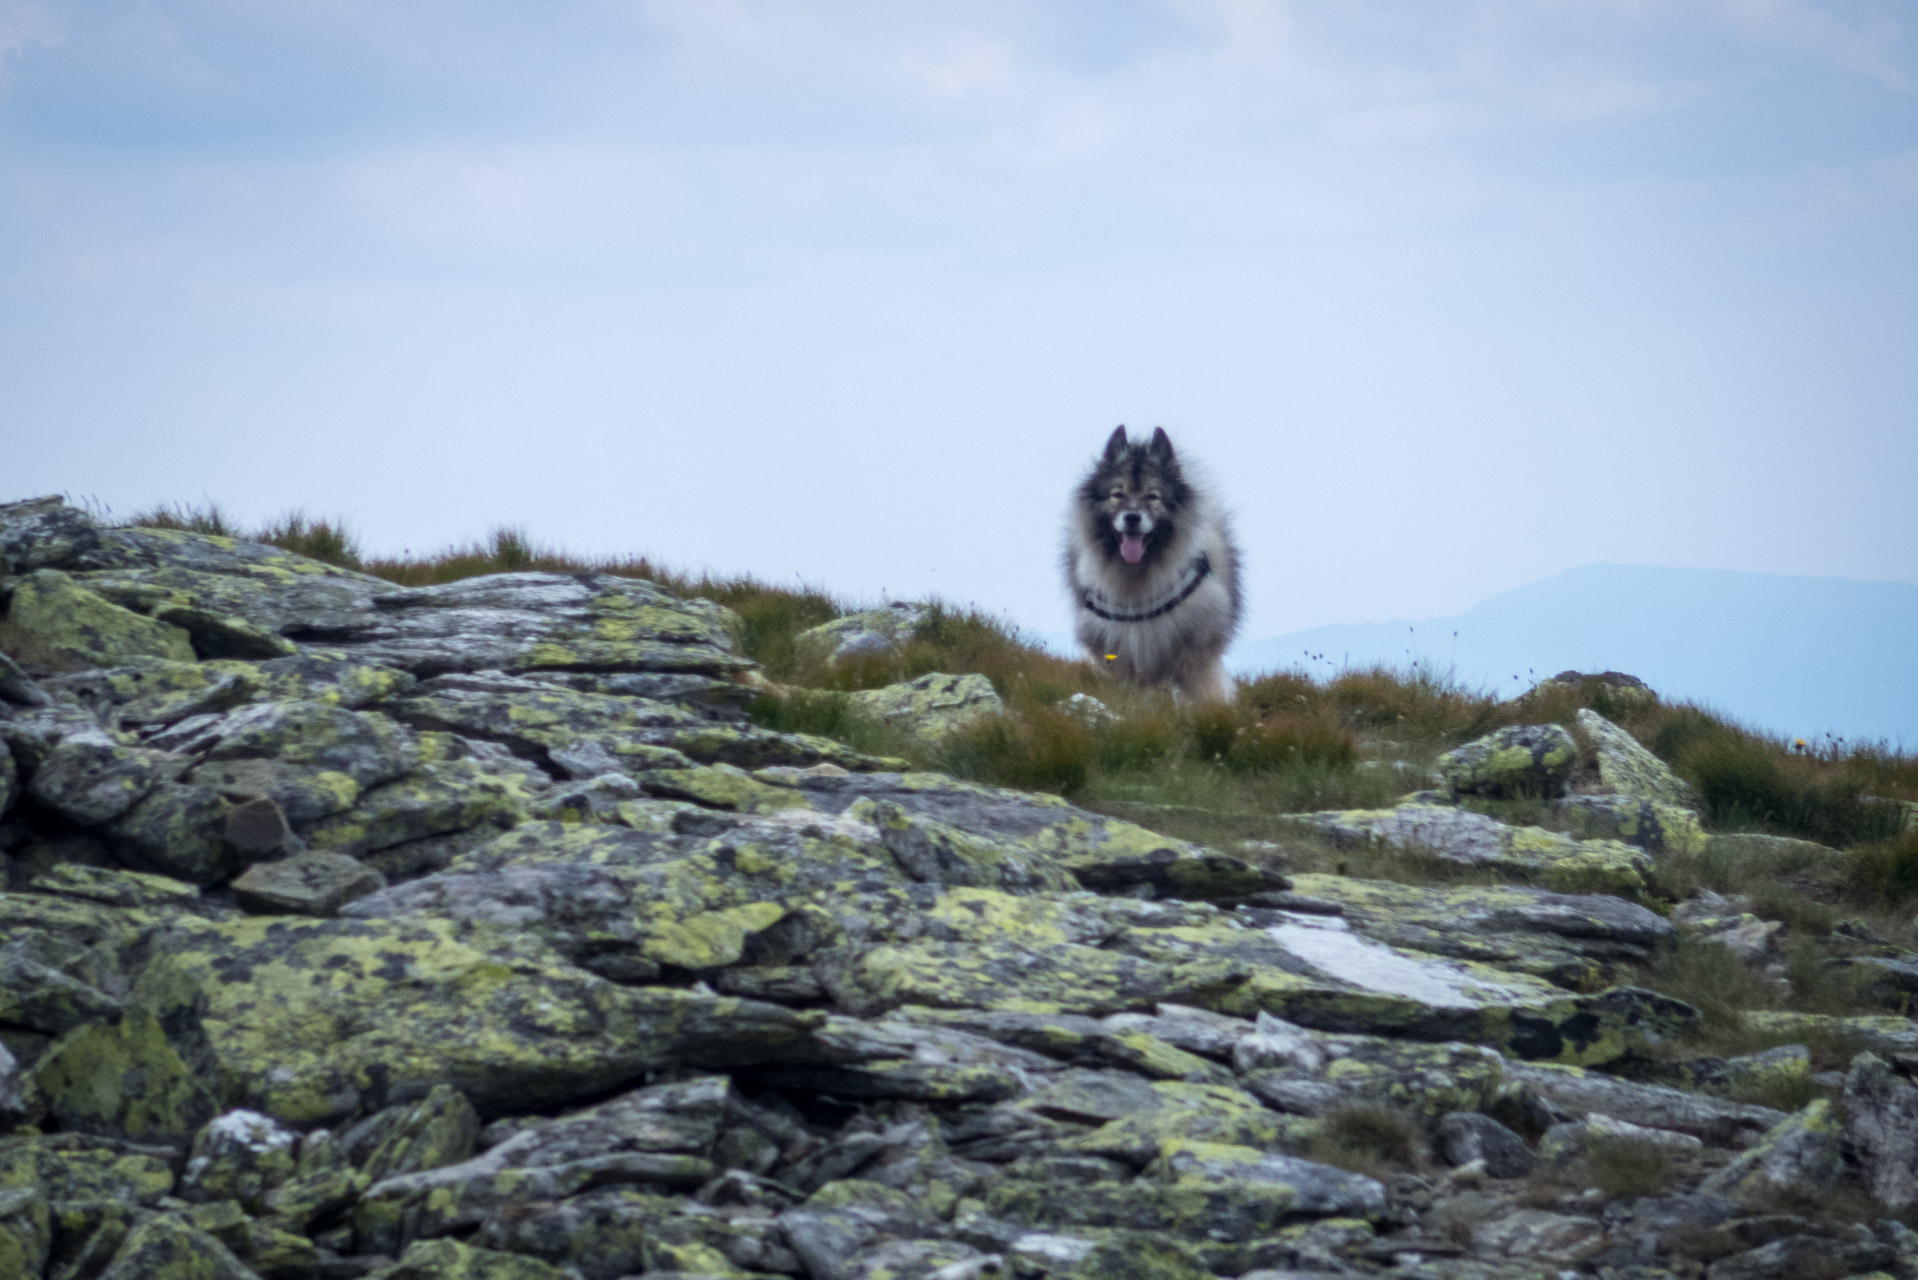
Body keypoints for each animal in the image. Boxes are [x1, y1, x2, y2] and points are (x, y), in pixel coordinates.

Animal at [1066, 426, 1242, 706]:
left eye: (1153, 496)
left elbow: (1205, 691)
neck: (1138, 581)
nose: (1132, 517)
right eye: (1118, 494)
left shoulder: (1195, 650)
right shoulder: (1118, 648)